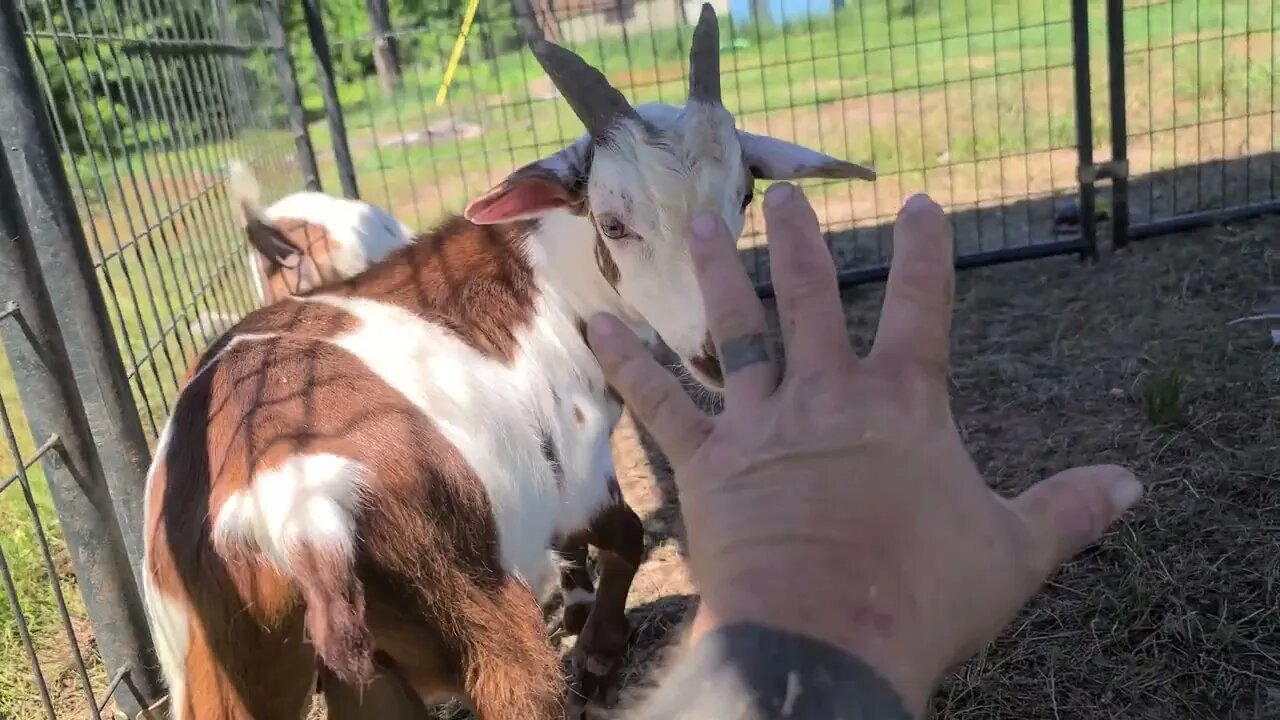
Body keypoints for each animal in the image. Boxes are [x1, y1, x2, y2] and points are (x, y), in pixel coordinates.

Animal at [145, 7, 875, 717]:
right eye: (614, 223)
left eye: (743, 196)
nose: (717, 351)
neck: (543, 280)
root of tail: (296, 517)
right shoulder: (575, 476)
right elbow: (627, 533)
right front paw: (598, 657)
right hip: (474, 603)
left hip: (229, 664)